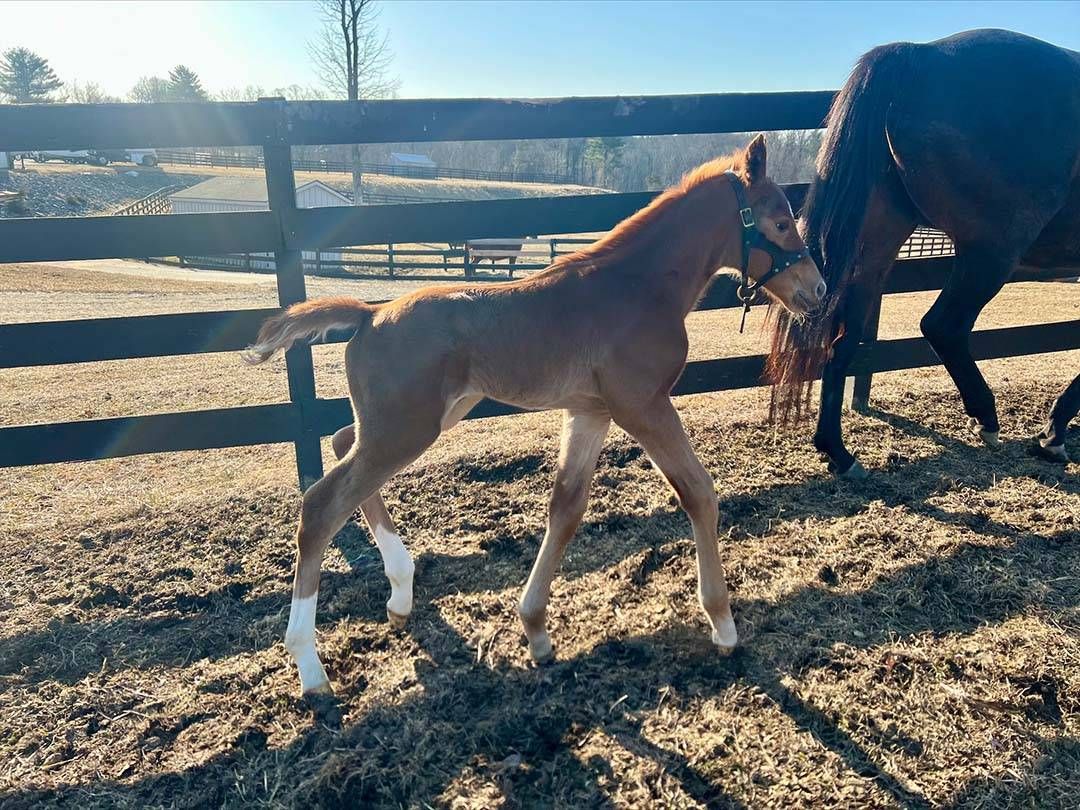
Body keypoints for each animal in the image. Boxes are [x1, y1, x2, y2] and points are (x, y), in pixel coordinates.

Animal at [244, 135, 827, 695]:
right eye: (779, 222)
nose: (817, 289)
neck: (636, 286)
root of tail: (370, 313)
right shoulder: (642, 404)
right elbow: (699, 493)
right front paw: (723, 624)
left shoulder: (591, 412)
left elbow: (565, 508)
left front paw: (537, 630)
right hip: (404, 429)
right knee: (322, 504)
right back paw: (311, 668)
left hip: (420, 419)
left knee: (344, 442)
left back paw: (401, 592)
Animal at [766, 29, 1080, 478]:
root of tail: (916, 54)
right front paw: (1053, 435)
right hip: (990, 253)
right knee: (943, 326)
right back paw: (986, 418)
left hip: (876, 247)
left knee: (844, 341)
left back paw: (838, 453)